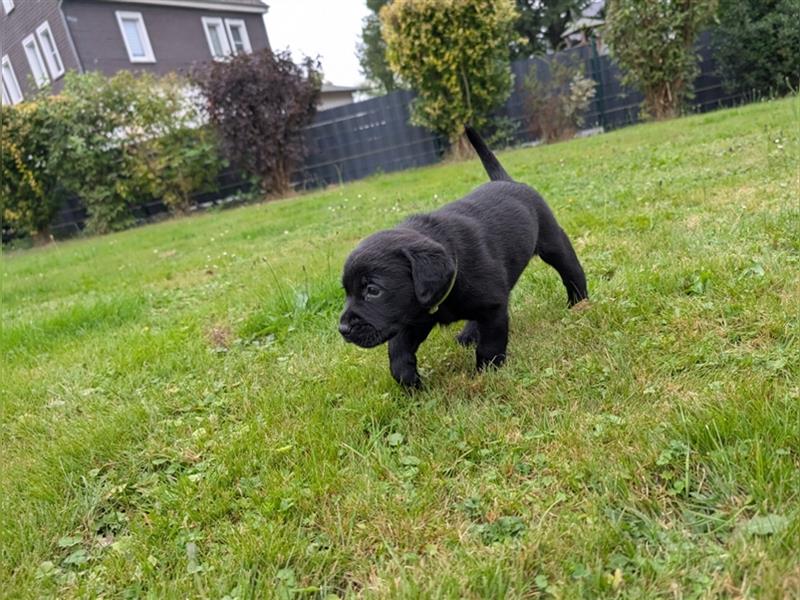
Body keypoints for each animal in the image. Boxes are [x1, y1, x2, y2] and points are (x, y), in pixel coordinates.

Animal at [338, 127, 588, 390]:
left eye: (373, 290)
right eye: (346, 291)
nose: (342, 328)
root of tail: (506, 181)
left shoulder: (493, 308)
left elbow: (490, 345)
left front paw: (486, 373)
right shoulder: (414, 317)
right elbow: (398, 352)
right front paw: (411, 382)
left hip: (553, 241)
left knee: (571, 271)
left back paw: (579, 303)